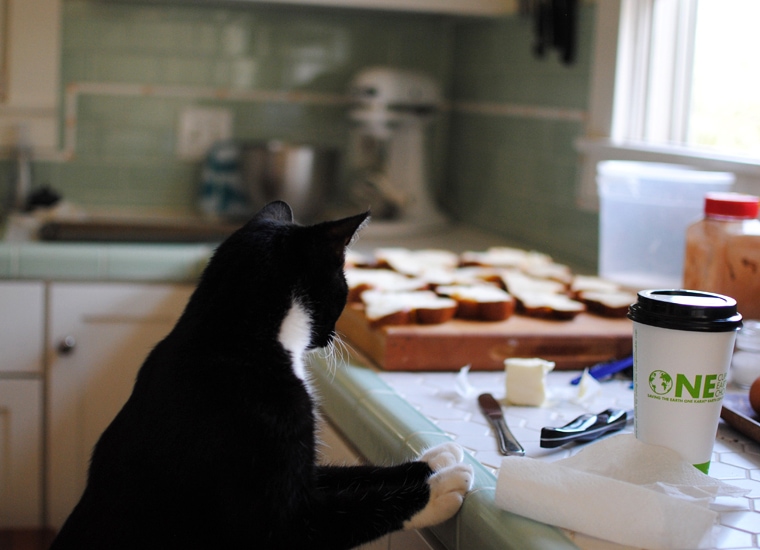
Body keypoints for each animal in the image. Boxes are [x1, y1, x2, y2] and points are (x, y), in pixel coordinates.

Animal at [50, 203, 472, 550]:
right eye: (344, 289)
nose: (334, 335)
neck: (231, 339)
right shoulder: (278, 517)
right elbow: (351, 510)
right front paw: (439, 488)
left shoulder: (305, 472)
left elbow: (357, 475)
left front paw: (435, 460)